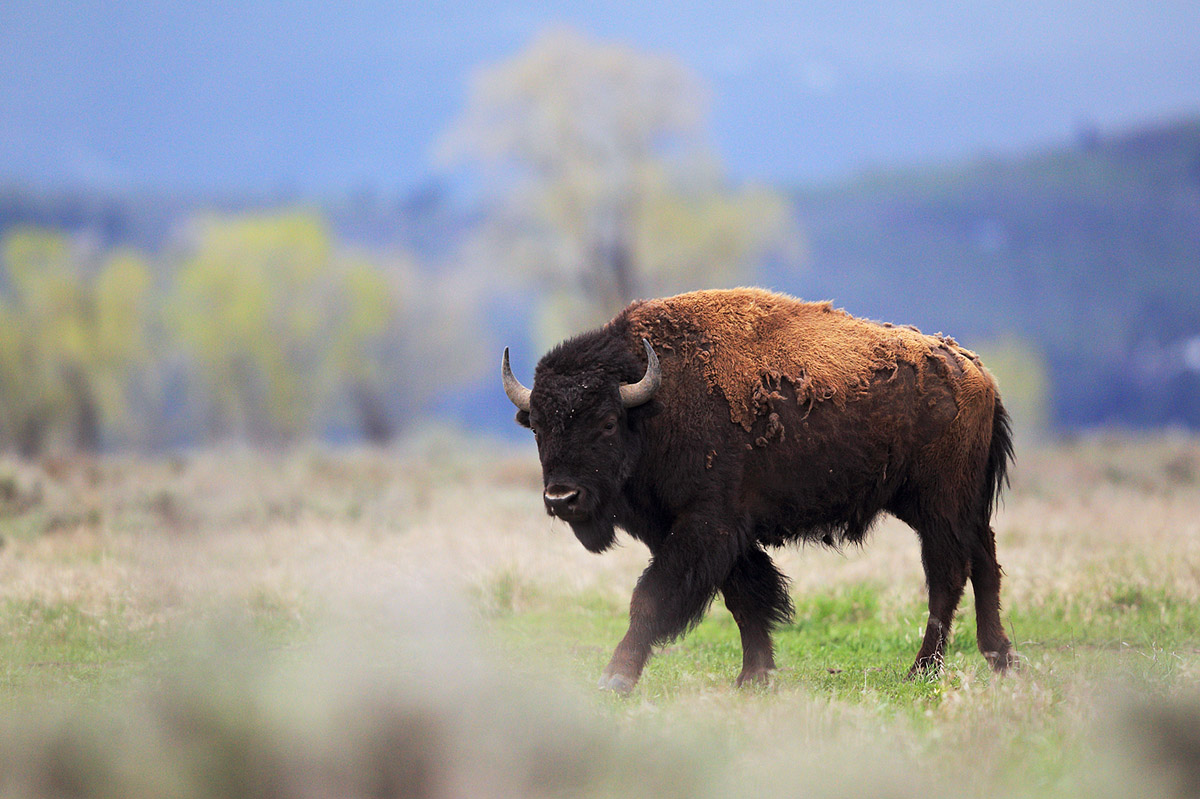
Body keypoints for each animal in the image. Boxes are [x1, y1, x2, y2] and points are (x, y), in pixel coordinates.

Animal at [502, 288, 1017, 692]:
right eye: (538, 428)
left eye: (607, 422)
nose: (561, 498)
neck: (655, 406)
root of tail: (979, 374)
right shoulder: (712, 534)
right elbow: (747, 598)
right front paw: (755, 676)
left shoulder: (706, 525)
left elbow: (654, 596)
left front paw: (616, 677)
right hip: (953, 505)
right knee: (984, 562)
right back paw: (1001, 660)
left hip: (939, 506)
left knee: (947, 576)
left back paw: (922, 672)